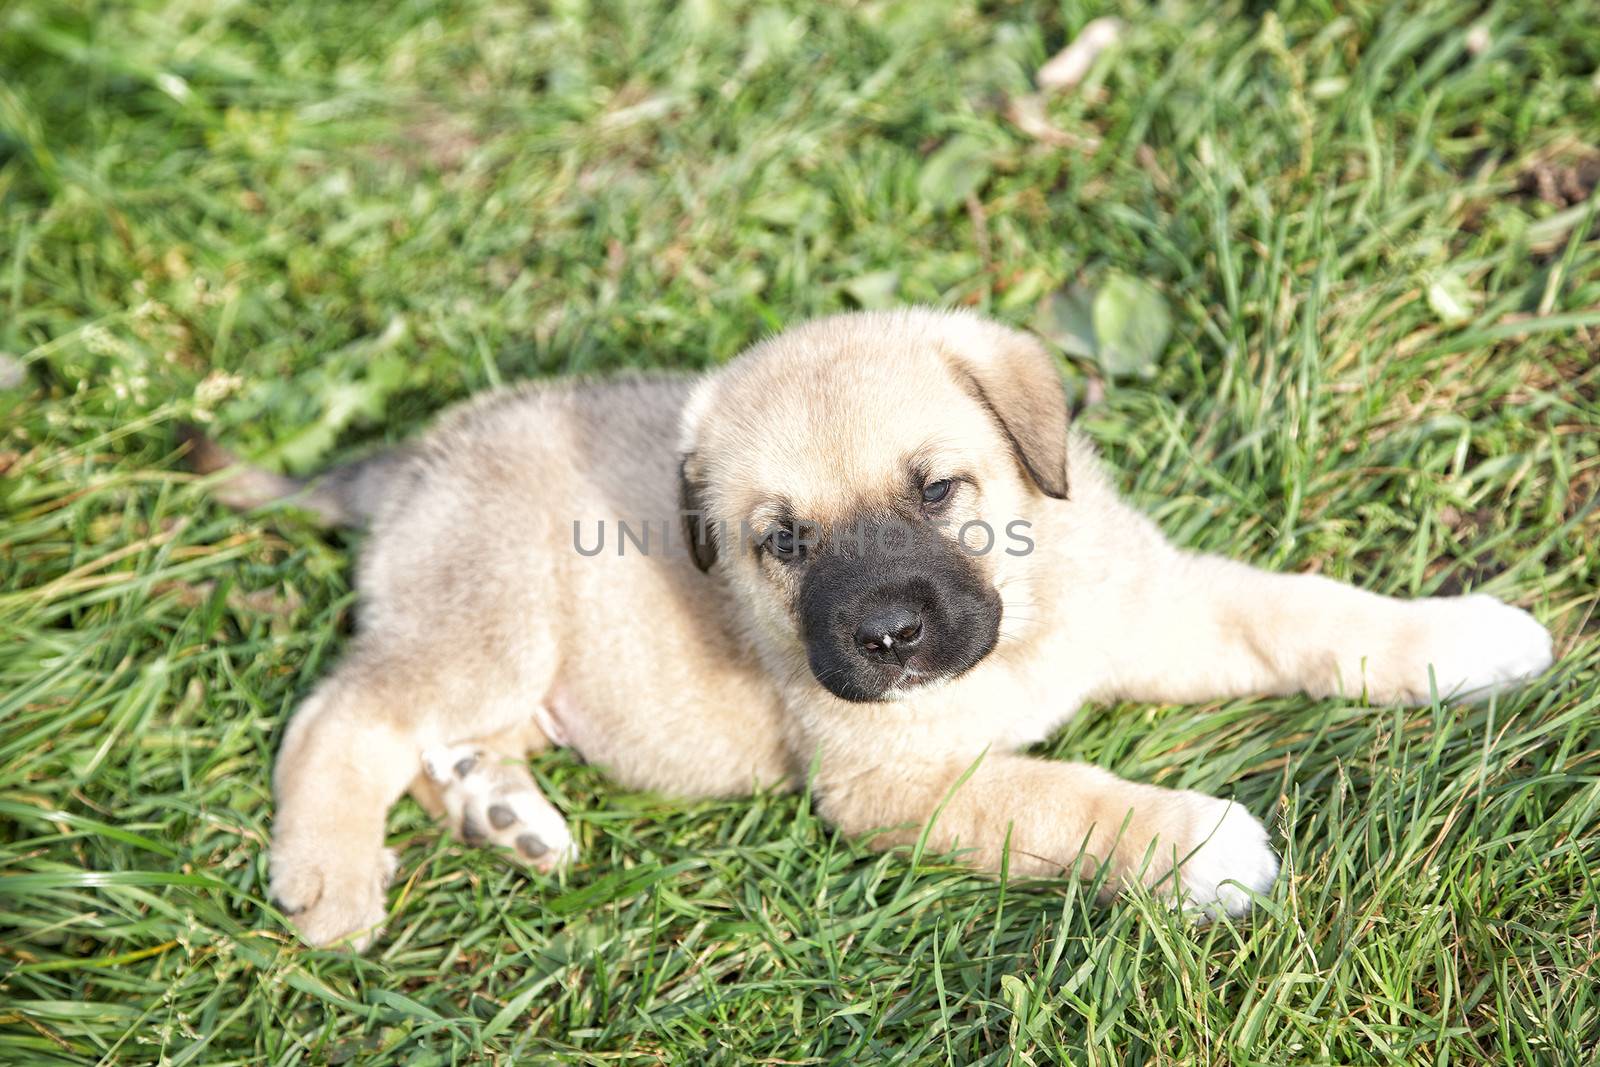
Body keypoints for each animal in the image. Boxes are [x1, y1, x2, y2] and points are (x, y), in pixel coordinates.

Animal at [184, 310, 1548, 953]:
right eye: (780, 541)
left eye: (937, 489)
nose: (888, 633)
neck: (1027, 619)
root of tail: (413, 461)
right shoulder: (895, 782)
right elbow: (1061, 795)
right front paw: (1194, 843)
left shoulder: (1156, 603)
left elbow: (1307, 609)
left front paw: (1456, 639)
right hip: (489, 624)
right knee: (345, 715)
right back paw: (331, 878)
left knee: (436, 737)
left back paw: (500, 809)